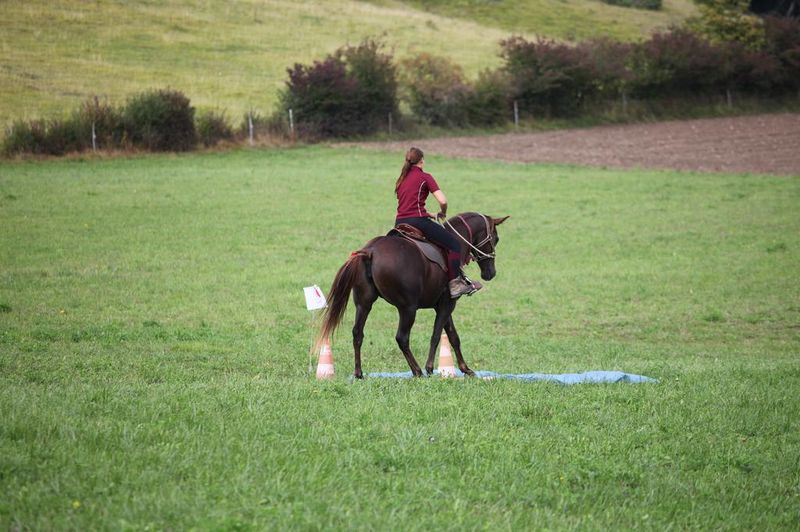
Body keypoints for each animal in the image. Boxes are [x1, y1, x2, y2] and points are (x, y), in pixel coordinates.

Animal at [316, 212, 510, 378]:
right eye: (496, 239)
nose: (490, 273)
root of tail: (370, 251)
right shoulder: (447, 304)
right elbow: (436, 335)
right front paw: (430, 368)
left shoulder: (443, 305)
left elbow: (453, 336)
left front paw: (466, 369)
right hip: (408, 308)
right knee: (402, 338)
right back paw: (417, 371)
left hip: (364, 304)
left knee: (357, 334)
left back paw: (359, 373)